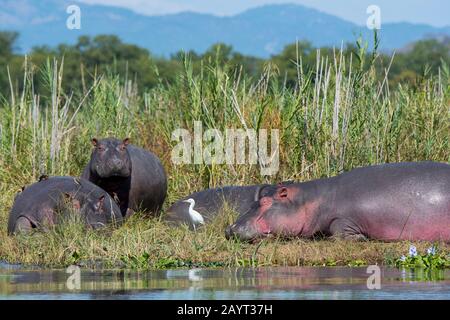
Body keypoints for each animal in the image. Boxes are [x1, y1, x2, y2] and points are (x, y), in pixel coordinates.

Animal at [227, 162, 450, 242]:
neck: (313, 199)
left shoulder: (344, 219)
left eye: (265, 201)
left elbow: (338, 229)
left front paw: (360, 238)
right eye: (254, 201)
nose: (230, 228)